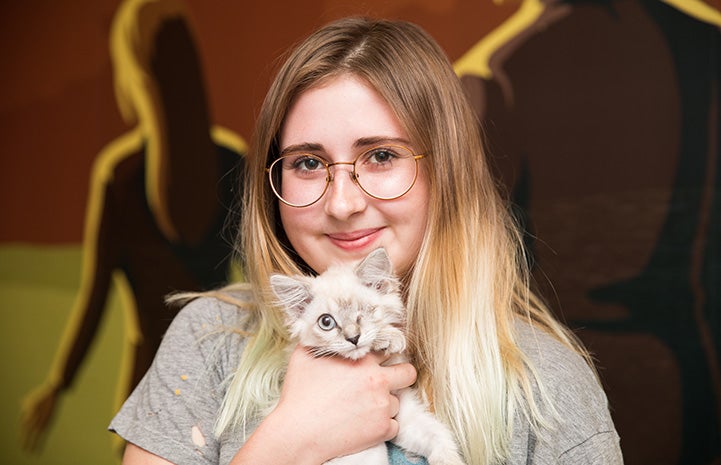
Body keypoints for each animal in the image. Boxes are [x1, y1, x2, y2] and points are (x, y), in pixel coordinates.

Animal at [270, 248, 466, 464]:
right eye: (326, 322)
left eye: (364, 312)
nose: (353, 338)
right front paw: (389, 337)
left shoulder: (403, 418)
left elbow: (438, 436)